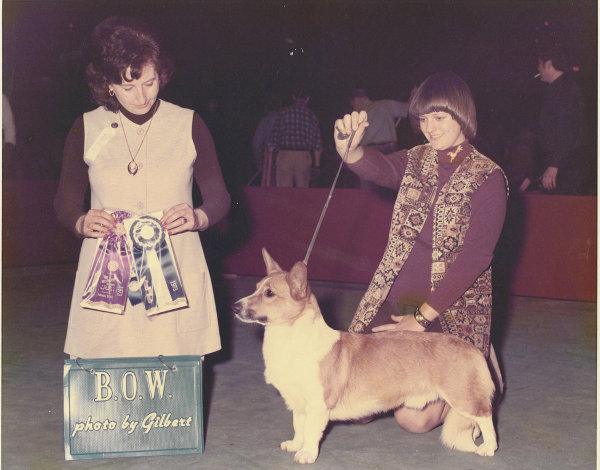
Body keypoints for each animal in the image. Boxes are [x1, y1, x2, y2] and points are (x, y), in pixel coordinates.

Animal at [233, 248, 496, 464]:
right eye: (256, 288)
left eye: (269, 293)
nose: (235, 307)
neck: (291, 337)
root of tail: (470, 348)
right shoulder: (298, 401)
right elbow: (299, 426)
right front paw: (295, 445)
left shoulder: (318, 403)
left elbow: (311, 431)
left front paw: (306, 454)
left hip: (462, 397)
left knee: (485, 417)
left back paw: (488, 448)